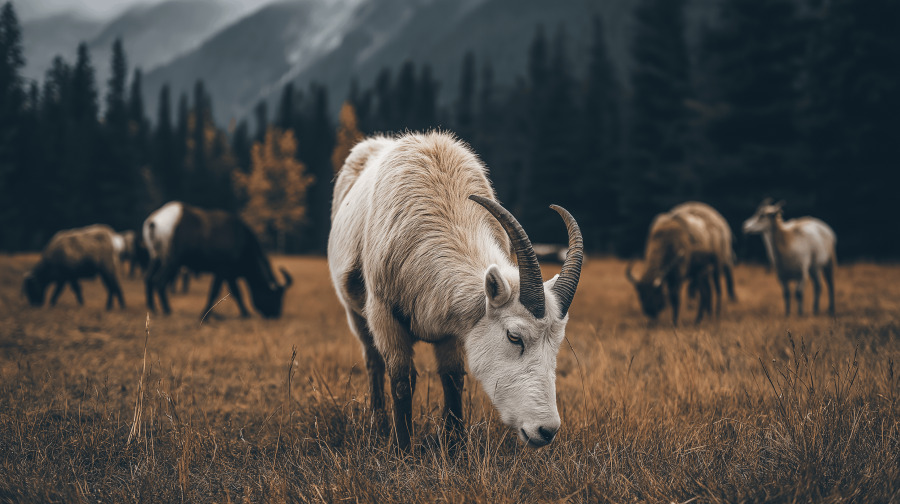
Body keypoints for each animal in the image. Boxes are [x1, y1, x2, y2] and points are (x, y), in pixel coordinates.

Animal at [143, 201, 293, 319]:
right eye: (276, 296)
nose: (276, 314)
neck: (241, 240)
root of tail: (155, 220)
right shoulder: (222, 270)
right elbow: (215, 292)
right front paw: (205, 315)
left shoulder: (230, 275)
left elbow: (237, 293)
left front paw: (245, 313)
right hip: (172, 261)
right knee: (159, 282)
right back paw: (168, 310)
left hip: (156, 258)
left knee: (149, 279)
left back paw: (153, 308)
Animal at [328, 132, 584, 450]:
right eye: (514, 336)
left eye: (557, 342)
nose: (546, 431)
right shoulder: (384, 315)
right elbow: (401, 380)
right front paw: (402, 449)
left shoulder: (451, 325)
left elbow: (452, 378)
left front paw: (456, 444)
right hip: (355, 313)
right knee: (372, 360)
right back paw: (380, 424)